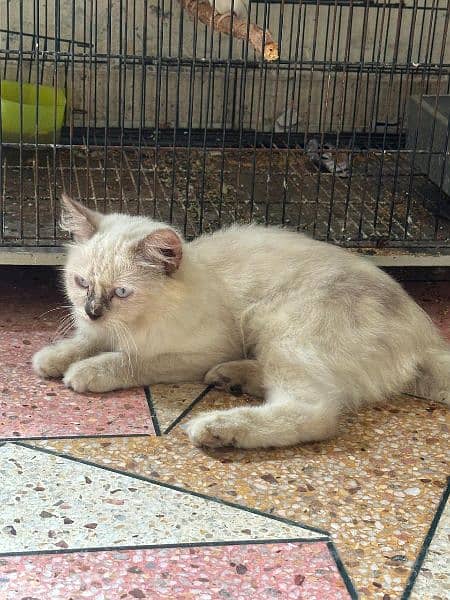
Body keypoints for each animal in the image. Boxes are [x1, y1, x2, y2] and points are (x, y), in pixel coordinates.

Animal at [33, 197, 450, 450]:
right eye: (81, 283)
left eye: (121, 292)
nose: (92, 311)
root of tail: (426, 337)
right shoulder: (100, 330)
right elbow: (84, 342)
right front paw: (52, 360)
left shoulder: (195, 351)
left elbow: (127, 360)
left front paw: (83, 373)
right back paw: (230, 378)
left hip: (278, 327)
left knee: (314, 413)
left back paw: (217, 428)